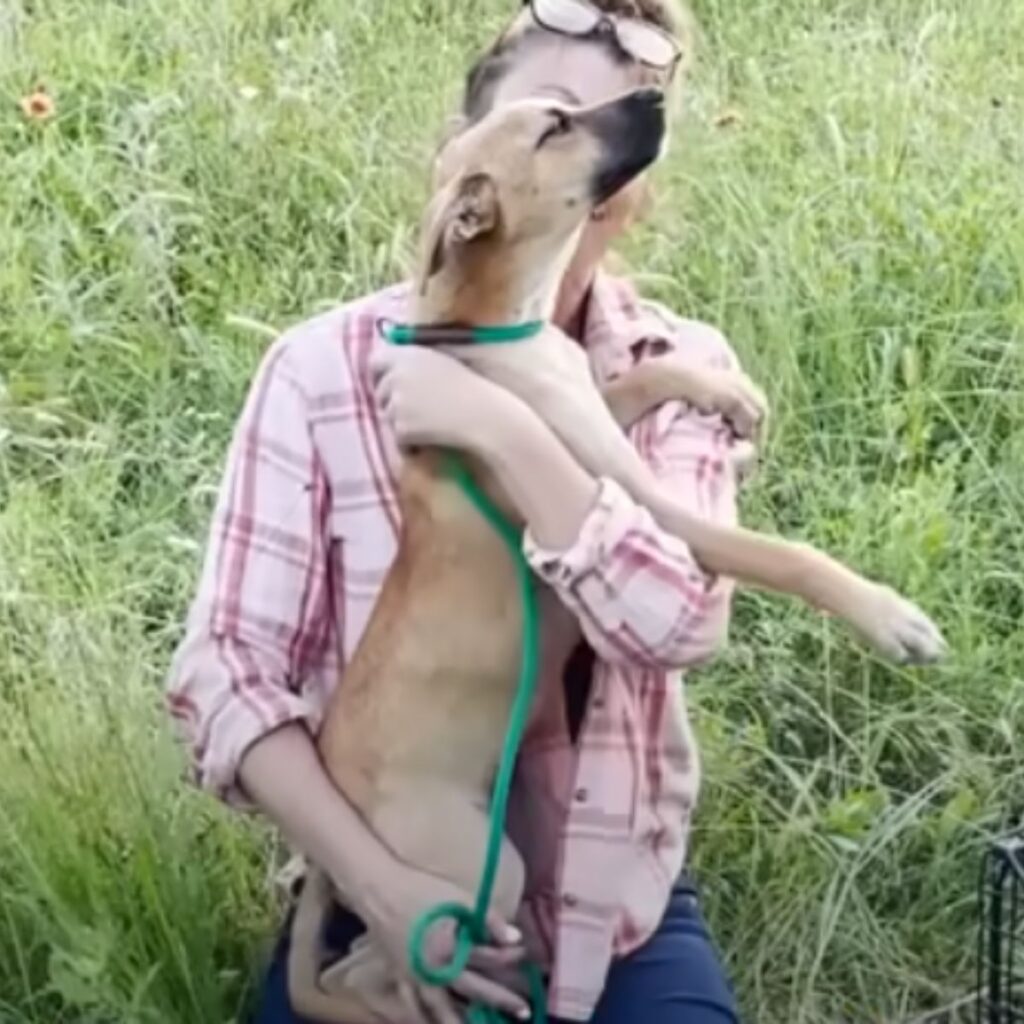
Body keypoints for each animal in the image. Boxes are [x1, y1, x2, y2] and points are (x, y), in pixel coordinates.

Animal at [284, 90, 946, 1024]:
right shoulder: (643, 501)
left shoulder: (599, 420)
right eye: (555, 128)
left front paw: (723, 393)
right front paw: (889, 617)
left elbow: (639, 378)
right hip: (470, 871)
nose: (657, 96)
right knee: (371, 970)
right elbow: (780, 553)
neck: (495, 326)